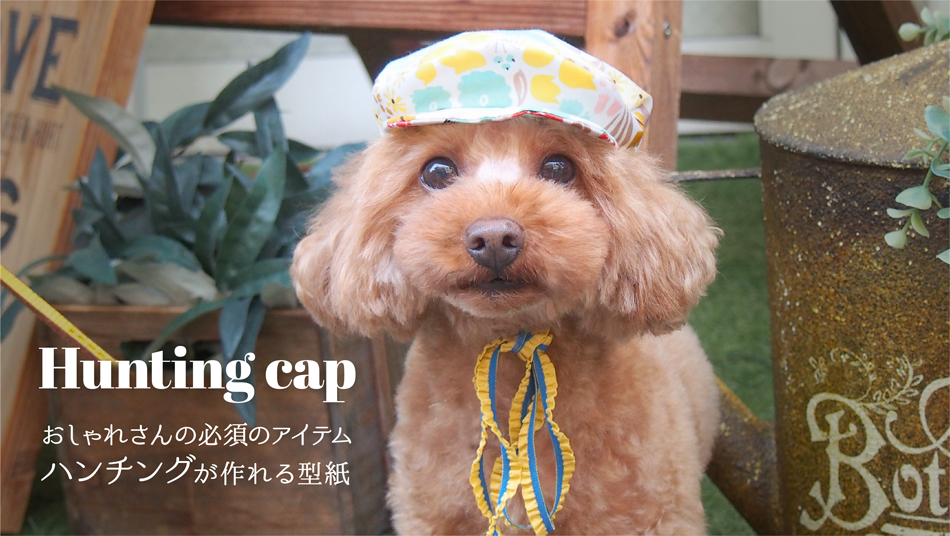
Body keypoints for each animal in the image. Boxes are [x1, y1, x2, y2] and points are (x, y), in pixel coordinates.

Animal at [292, 31, 721, 535]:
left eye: (559, 167)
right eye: (437, 171)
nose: (494, 238)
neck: (511, 350)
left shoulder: (649, 514)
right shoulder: (428, 514)